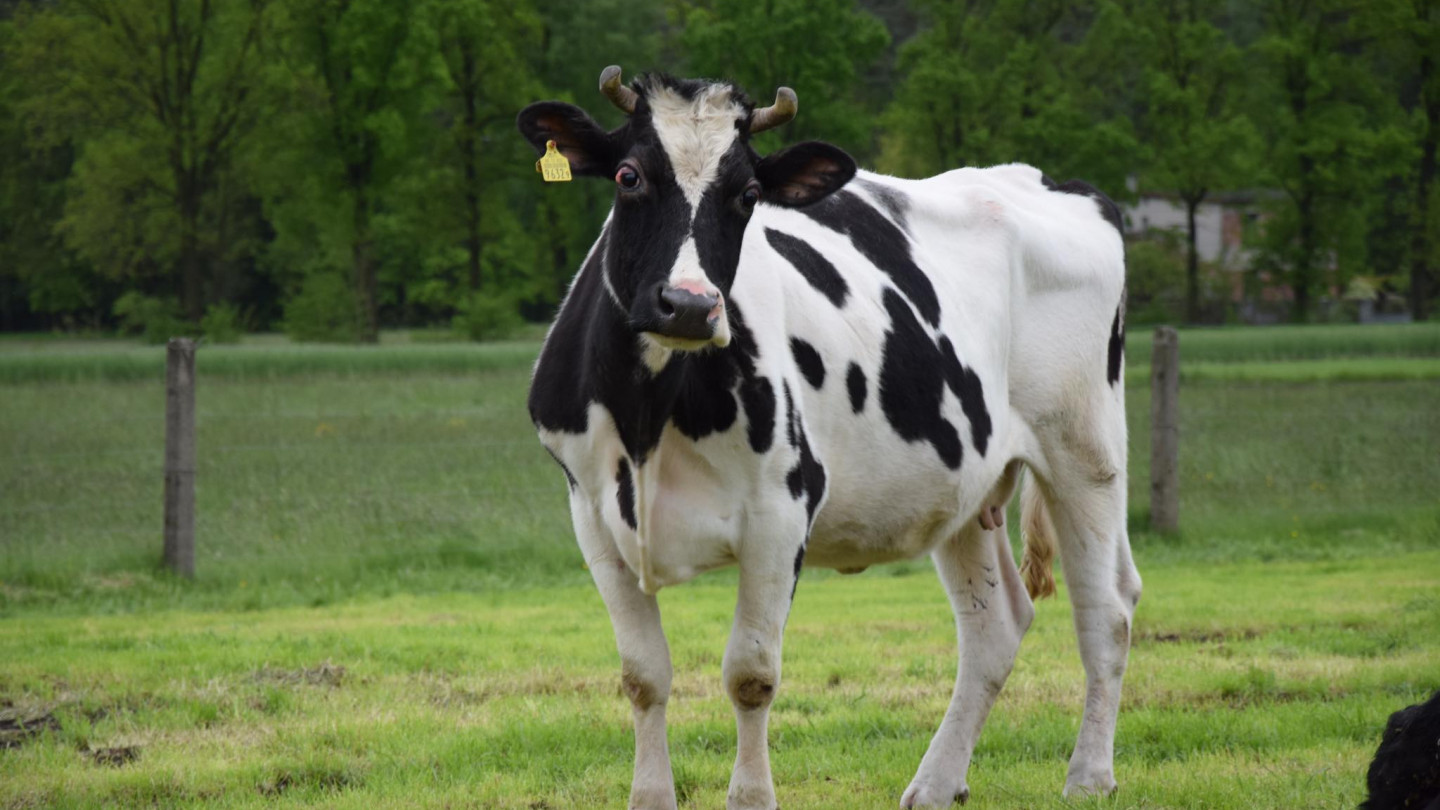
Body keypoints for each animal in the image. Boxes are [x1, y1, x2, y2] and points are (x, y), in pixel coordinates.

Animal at [515, 67, 1134, 807]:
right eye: (628, 176)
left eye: (748, 194)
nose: (690, 305)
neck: (648, 422)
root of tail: (1054, 183)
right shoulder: (593, 516)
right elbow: (643, 676)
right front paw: (651, 797)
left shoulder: (781, 512)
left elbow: (750, 675)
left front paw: (752, 798)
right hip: (966, 487)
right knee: (996, 627)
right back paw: (936, 783)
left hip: (1086, 450)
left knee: (1107, 613)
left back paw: (1090, 775)